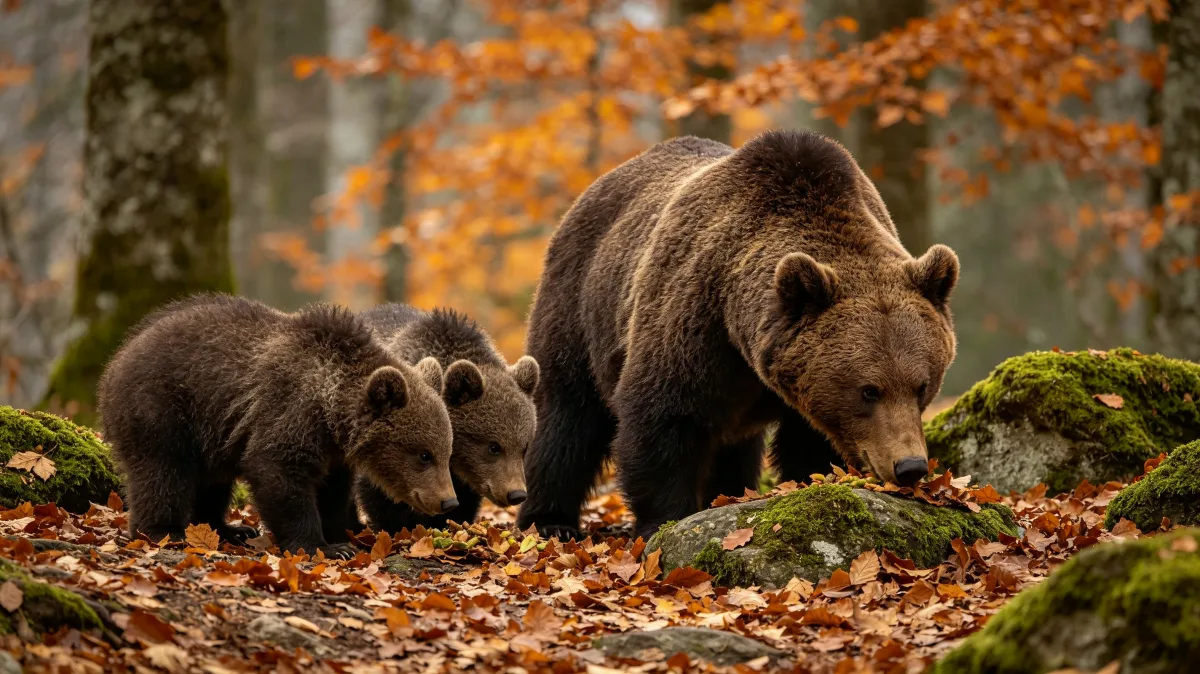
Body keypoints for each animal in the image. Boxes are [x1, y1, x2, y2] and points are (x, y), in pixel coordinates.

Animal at [97, 293, 458, 558]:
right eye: (424, 455)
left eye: (446, 451)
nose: (448, 501)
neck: (331, 408)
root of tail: (117, 360)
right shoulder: (289, 412)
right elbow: (278, 474)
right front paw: (321, 545)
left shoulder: (331, 451)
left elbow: (332, 490)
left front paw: (339, 534)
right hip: (165, 410)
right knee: (162, 473)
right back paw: (164, 531)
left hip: (212, 435)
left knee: (212, 484)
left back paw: (229, 528)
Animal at [516, 129, 959, 541]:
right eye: (869, 390)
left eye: (921, 386)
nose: (910, 466)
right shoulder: (695, 325)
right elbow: (660, 418)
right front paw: (662, 521)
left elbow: (808, 445)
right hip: (580, 303)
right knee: (566, 418)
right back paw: (550, 521)